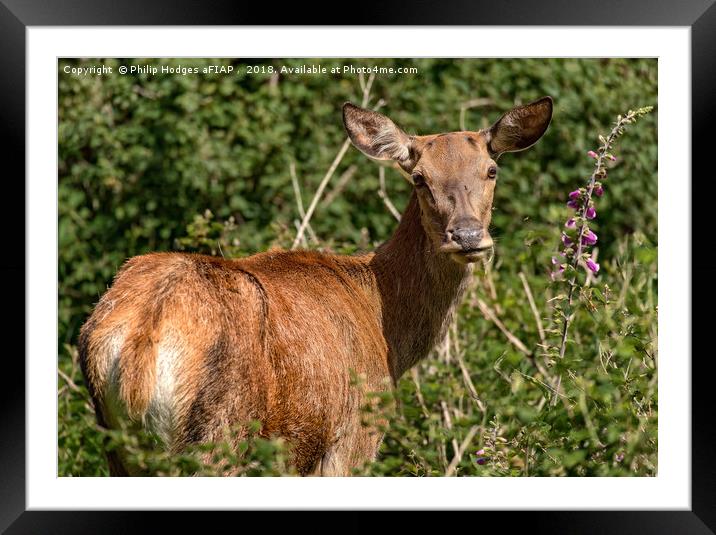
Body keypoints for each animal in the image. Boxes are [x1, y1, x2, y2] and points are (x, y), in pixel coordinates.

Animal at [79, 96, 552, 478]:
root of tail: (140, 340)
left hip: (117, 445)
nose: (468, 236)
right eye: (419, 177)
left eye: (491, 169)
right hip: (218, 434)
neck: (388, 331)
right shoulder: (355, 435)